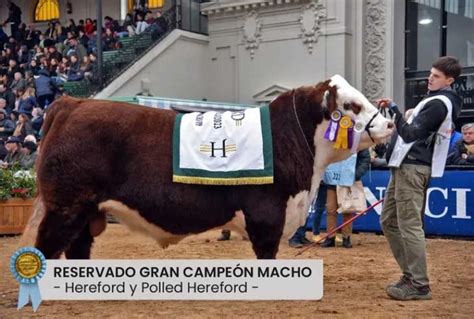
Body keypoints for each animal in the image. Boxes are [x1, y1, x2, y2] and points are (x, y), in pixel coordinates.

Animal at [25, 75, 394, 260]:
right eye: (352, 105)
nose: (389, 124)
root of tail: (72, 103)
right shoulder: (266, 217)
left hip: (84, 213)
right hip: (66, 208)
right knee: (46, 250)